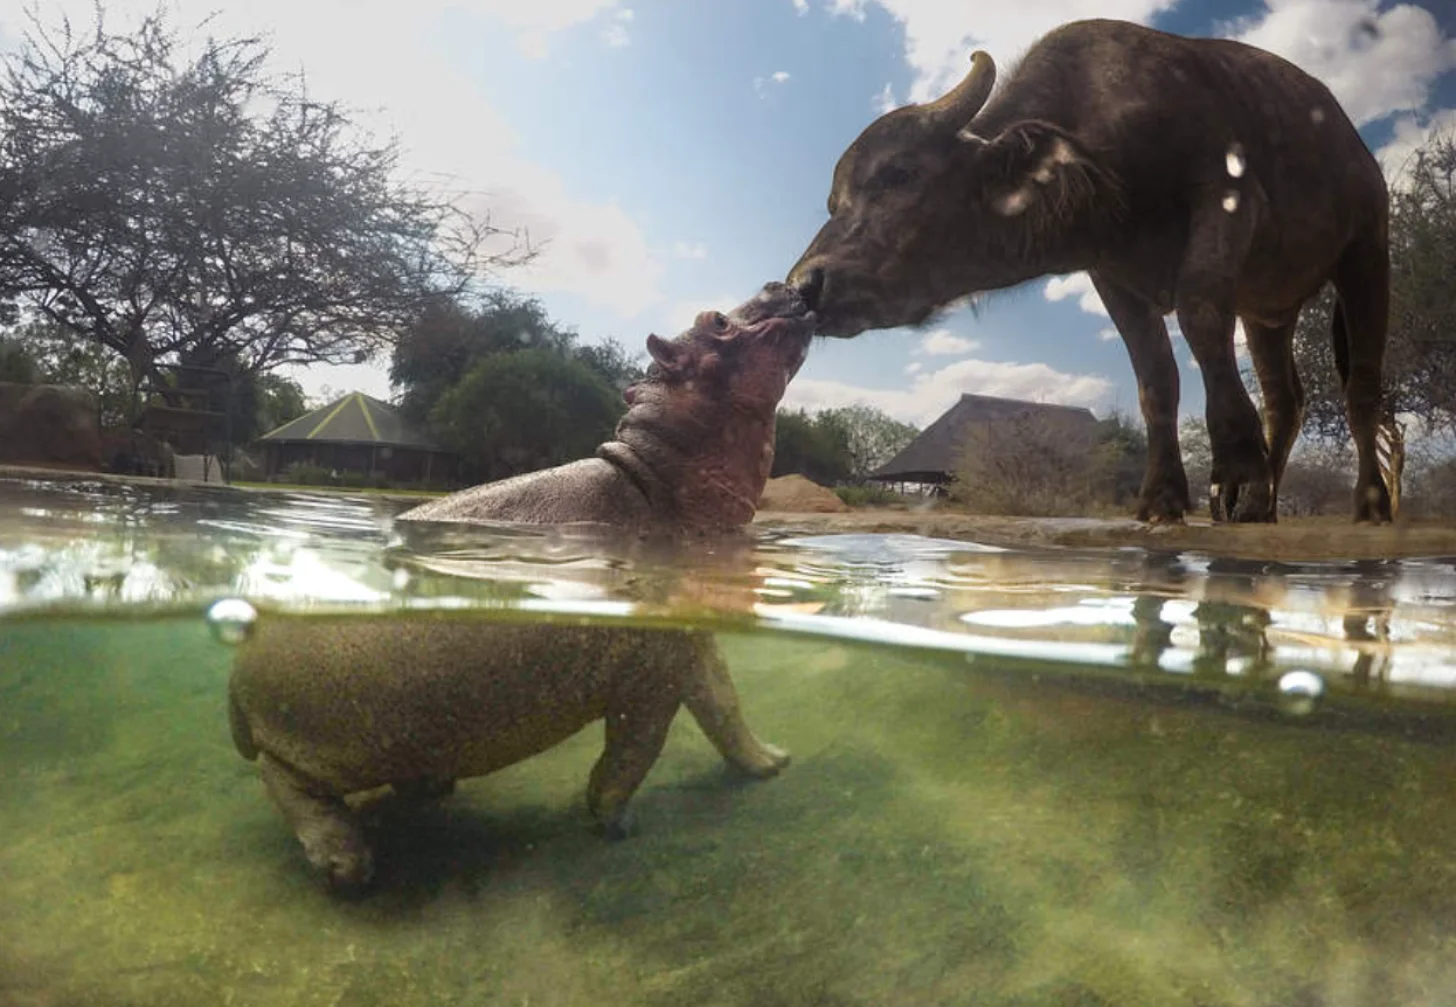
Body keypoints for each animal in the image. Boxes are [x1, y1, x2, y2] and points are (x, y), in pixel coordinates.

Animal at [228, 283, 813, 890]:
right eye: (716, 320)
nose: (784, 284)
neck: (656, 476)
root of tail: (235, 688)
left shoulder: (689, 642)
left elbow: (724, 705)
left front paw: (774, 762)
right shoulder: (649, 677)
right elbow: (635, 750)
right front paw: (614, 823)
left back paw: (432, 791)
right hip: (323, 751)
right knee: (283, 780)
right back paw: (347, 865)